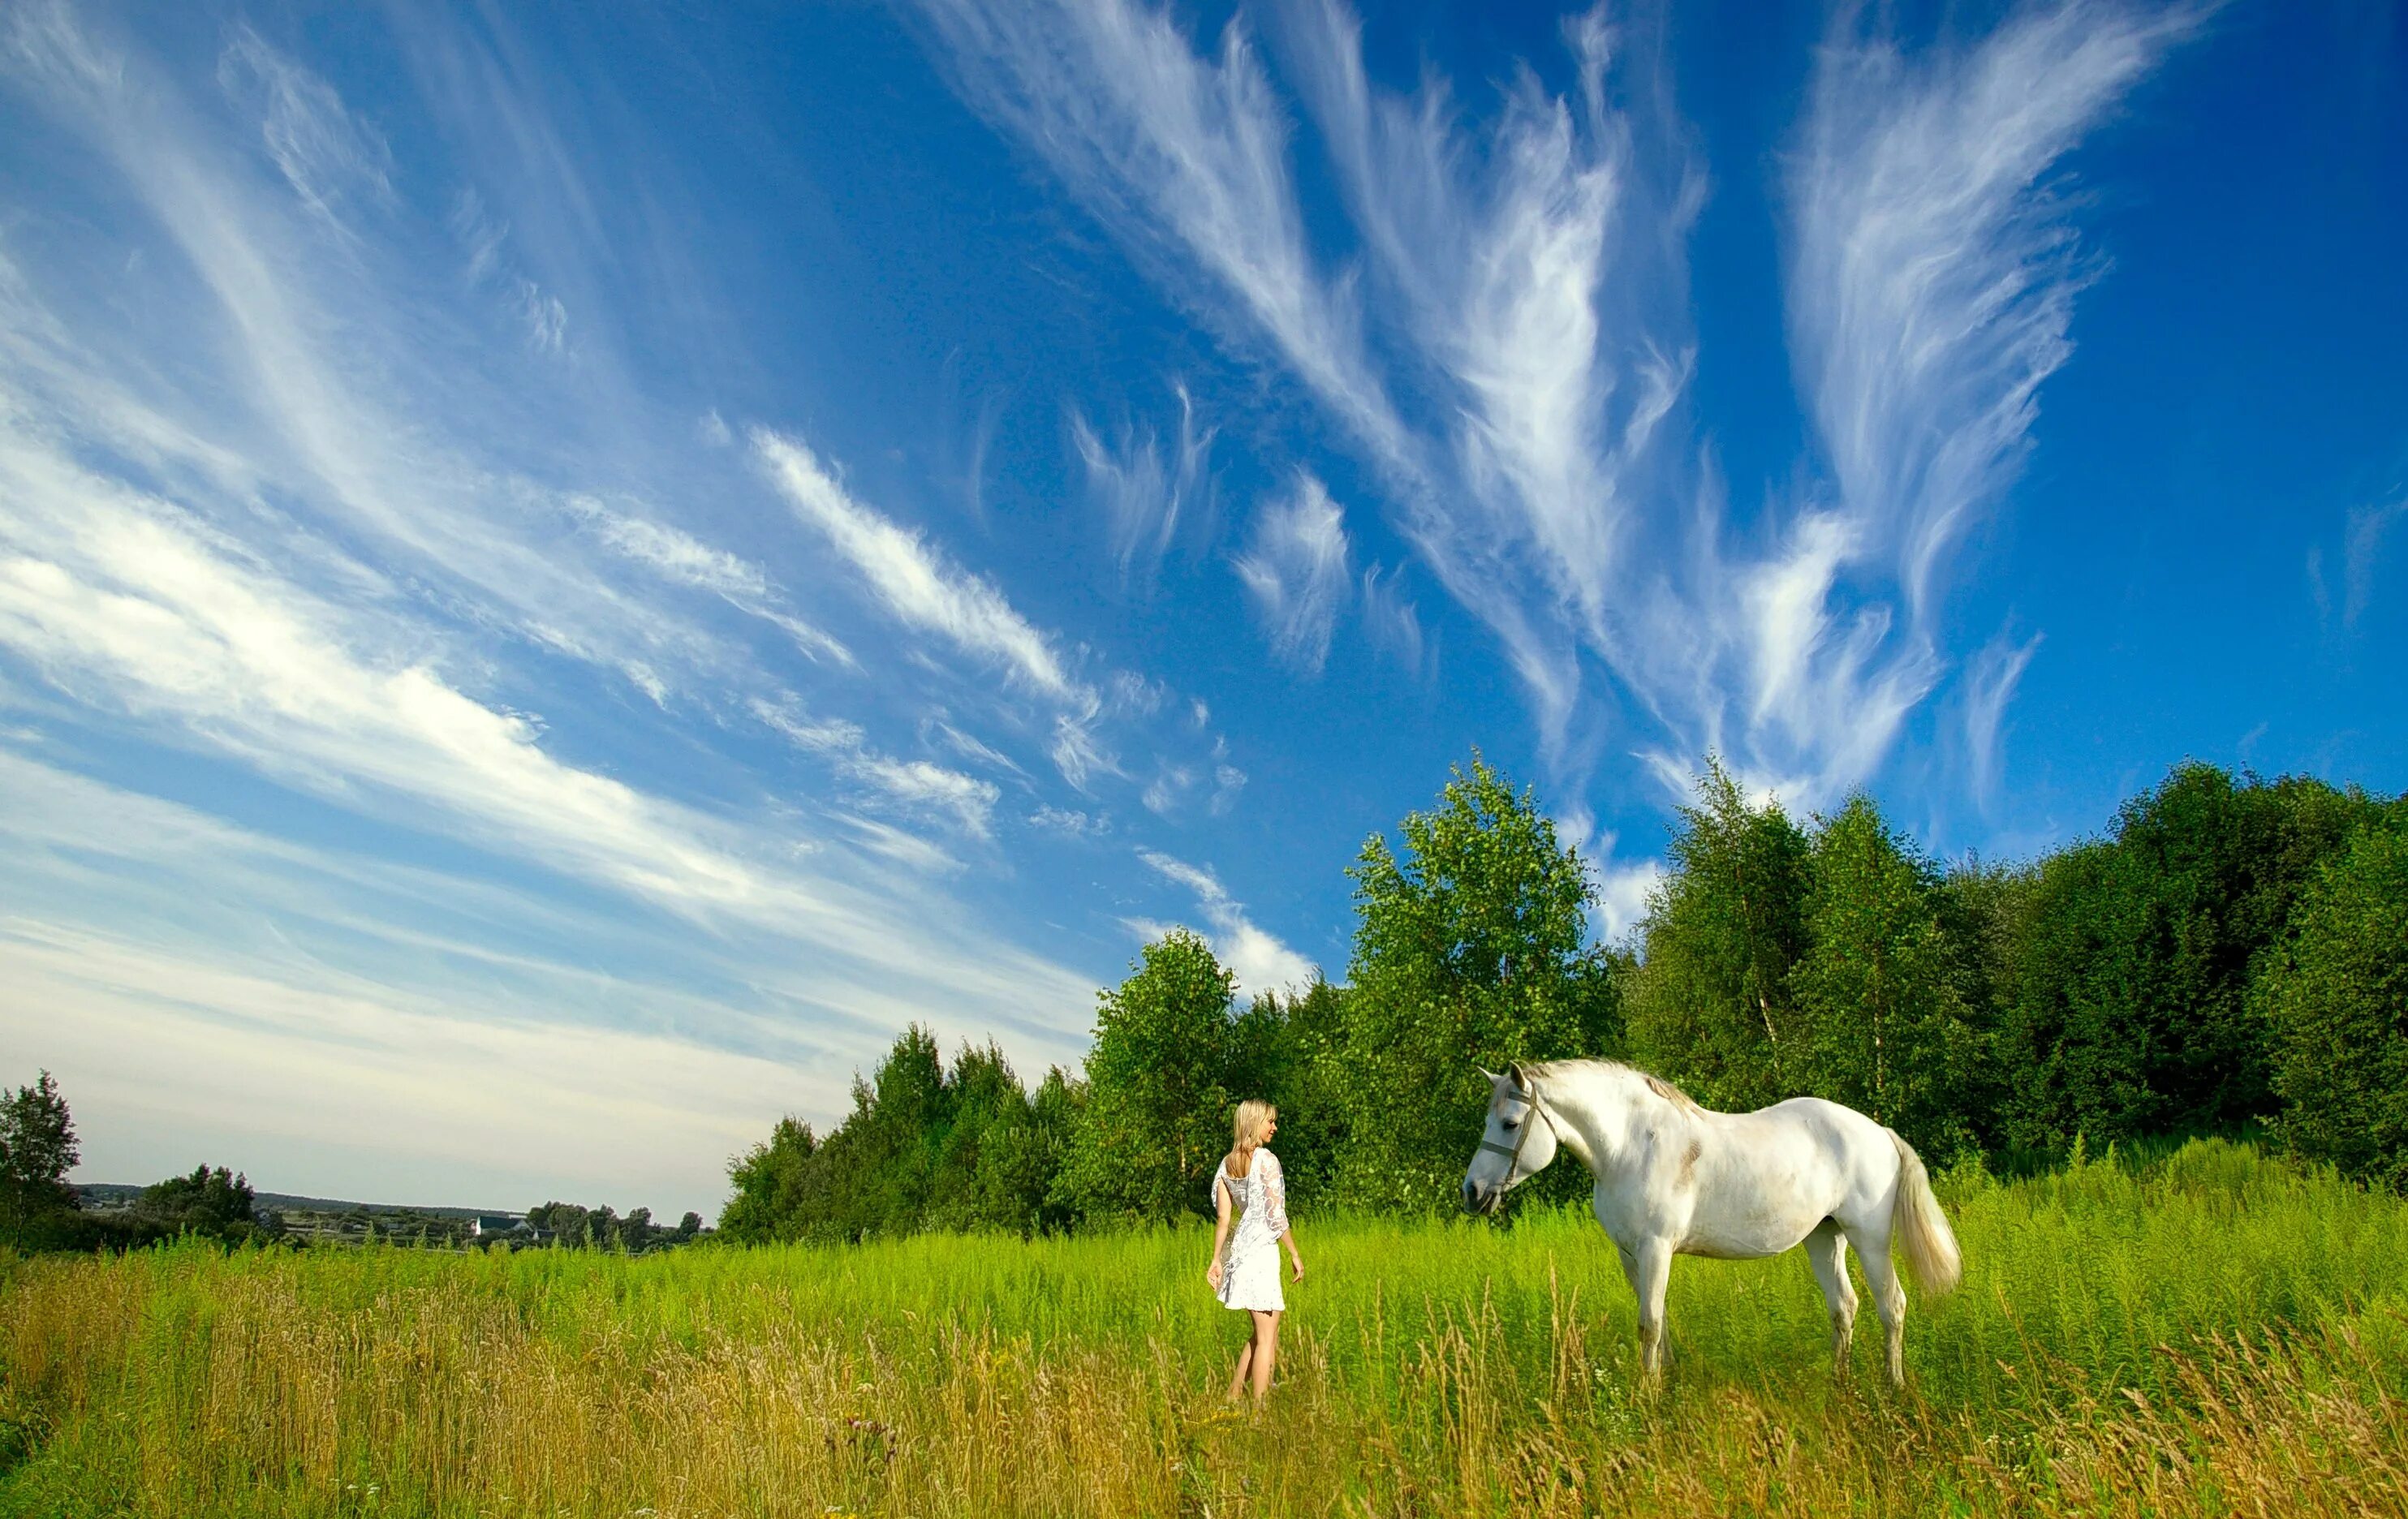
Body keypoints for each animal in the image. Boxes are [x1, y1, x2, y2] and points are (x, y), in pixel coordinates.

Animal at [1463, 1064, 1955, 1386]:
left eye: (1510, 1123)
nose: (1472, 1192)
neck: (1630, 1146)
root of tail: (1879, 1132)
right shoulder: (1630, 1255)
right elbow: (1657, 1320)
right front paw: (1666, 1384)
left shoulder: (1656, 1248)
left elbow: (1649, 1324)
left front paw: (1649, 1397)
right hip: (1824, 1238)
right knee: (1844, 1307)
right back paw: (1840, 1382)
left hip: (1869, 1240)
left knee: (1892, 1305)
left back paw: (1894, 1386)